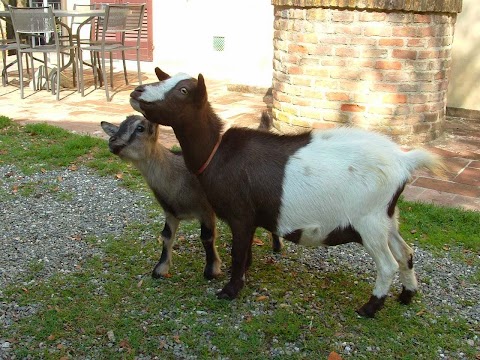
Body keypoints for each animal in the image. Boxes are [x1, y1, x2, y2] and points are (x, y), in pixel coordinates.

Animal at [128, 67, 442, 318]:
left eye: (183, 90)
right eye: (164, 78)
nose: (137, 91)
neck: (216, 152)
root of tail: (404, 161)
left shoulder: (241, 214)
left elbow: (238, 252)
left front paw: (230, 290)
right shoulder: (251, 218)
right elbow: (245, 252)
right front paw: (244, 275)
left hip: (370, 220)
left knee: (388, 264)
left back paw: (369, 308)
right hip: (388, 216)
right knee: (406, 252)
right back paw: (406, 296)